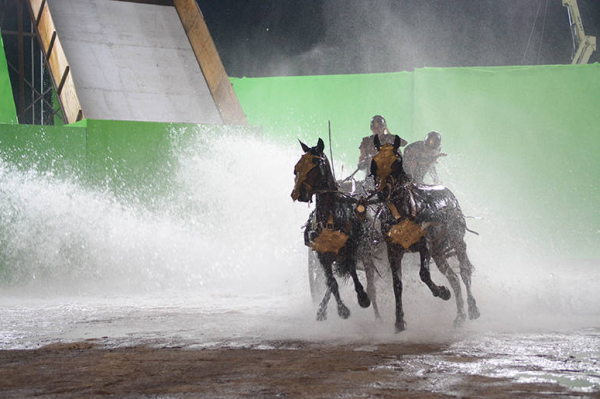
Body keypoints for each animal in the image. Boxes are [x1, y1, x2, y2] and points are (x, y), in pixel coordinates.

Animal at [290, 139, 370, 320]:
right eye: (297, 167)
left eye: (316, 164)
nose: (299, 193)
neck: (330, 217)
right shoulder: (321, 254)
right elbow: (331, 282)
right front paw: (341, 309)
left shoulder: (349, 249)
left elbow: (351, 271)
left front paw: (363, 297)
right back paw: (322, 308)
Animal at [370, 136, 478, 332]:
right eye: (374, 161)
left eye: (396, 162)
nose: (382, 191)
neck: (404, 211)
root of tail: (449, 194)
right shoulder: (393, 250)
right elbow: (397, 284)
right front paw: (399, 321)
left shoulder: (424, 244)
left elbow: (424, 274)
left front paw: (442, 292)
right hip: (438, 251)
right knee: (453, 277)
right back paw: (459, 315)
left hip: (455, 238)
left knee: (464, 271)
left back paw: (472, 308)